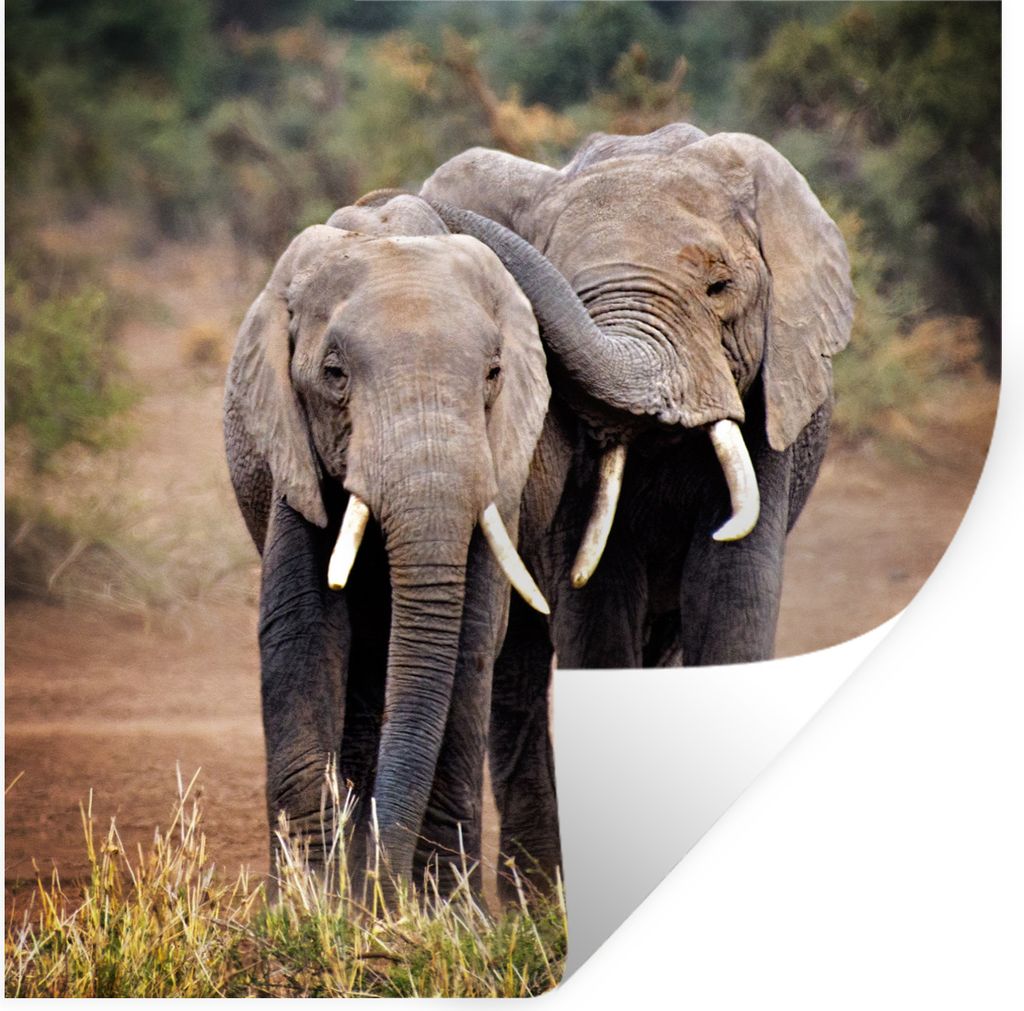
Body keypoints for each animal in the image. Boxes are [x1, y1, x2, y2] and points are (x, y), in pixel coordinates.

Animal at [222, 194, 553, 898]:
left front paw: (442, 914)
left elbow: (470, 638)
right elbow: (302, 628)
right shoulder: (294, 449)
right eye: (334, 375)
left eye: (493, 374)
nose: (384, 887)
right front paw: (308, 908)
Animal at [417, 122, 854, 894]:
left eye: (720, 287)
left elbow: (731, 588)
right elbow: (597, 600)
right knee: (520, 670)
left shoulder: (769, 397)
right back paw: (535, 901)